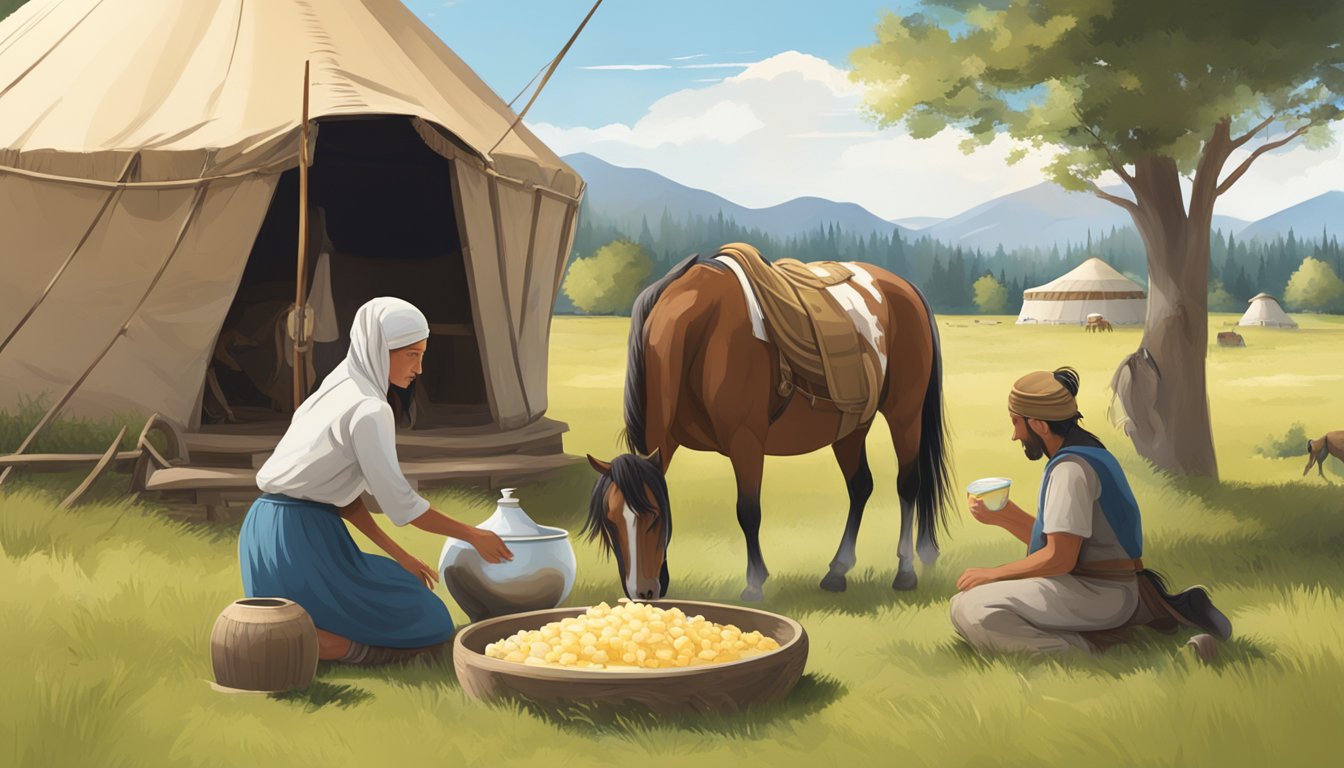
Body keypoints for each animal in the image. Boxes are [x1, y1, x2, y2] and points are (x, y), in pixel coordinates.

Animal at [583, 248, 951, 605]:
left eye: (655, 517)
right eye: (610, 523)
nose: (641, 592)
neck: (703, 334)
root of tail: (904, 288)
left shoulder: (745, 440)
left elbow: (748, 511)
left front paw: (754, 585)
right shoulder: (668, 442)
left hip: (905, 414)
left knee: (908, 485)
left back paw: (905, 570)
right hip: (851, 426)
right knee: (860, 486)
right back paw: (837, 571)